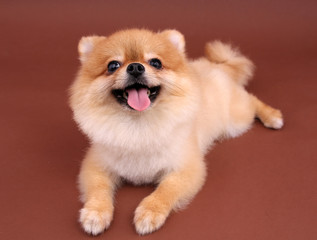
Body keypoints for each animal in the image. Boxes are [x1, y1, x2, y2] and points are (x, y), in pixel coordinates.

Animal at [68, 28, 282, 236]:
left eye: (156, 62)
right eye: (113, 65)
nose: (135, 67)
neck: (139, 123)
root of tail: (217, 67)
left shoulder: (185, 168)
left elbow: (166, 190)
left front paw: (150, 212)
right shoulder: (96, 165)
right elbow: (98, 189)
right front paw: (95, 213)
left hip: (236, 120)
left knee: (252, 100)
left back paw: (272, 116)